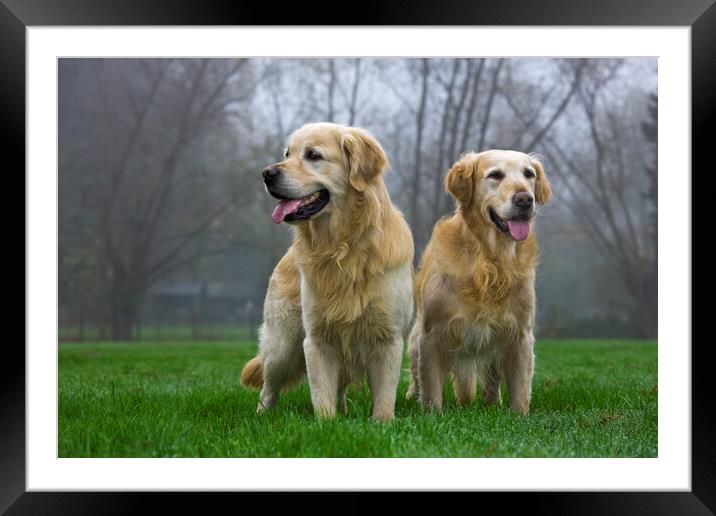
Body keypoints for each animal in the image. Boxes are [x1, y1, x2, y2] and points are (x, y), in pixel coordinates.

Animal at [239, 123, 414, 422]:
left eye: (313, 155)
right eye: (287, 153)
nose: (267, 173)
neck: (342, 248)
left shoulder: (388, 338)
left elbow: (384, 395)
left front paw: (382, 423)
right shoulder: (317, 339)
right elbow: (321, 392)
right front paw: (326, 423)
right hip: (282, 345)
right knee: (268, 387)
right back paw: (262, 417)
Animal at [406, 150, 552, 416]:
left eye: (529, 174)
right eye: (495, 175)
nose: (525, 199)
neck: (489, 260)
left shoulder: (519, 333)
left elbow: (520, 386)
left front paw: (519, 416)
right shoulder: (432, 335)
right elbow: (431, 389)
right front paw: (432, 416)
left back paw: (492, 403)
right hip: (415, 339)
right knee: (415, 374)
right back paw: (412, 396)